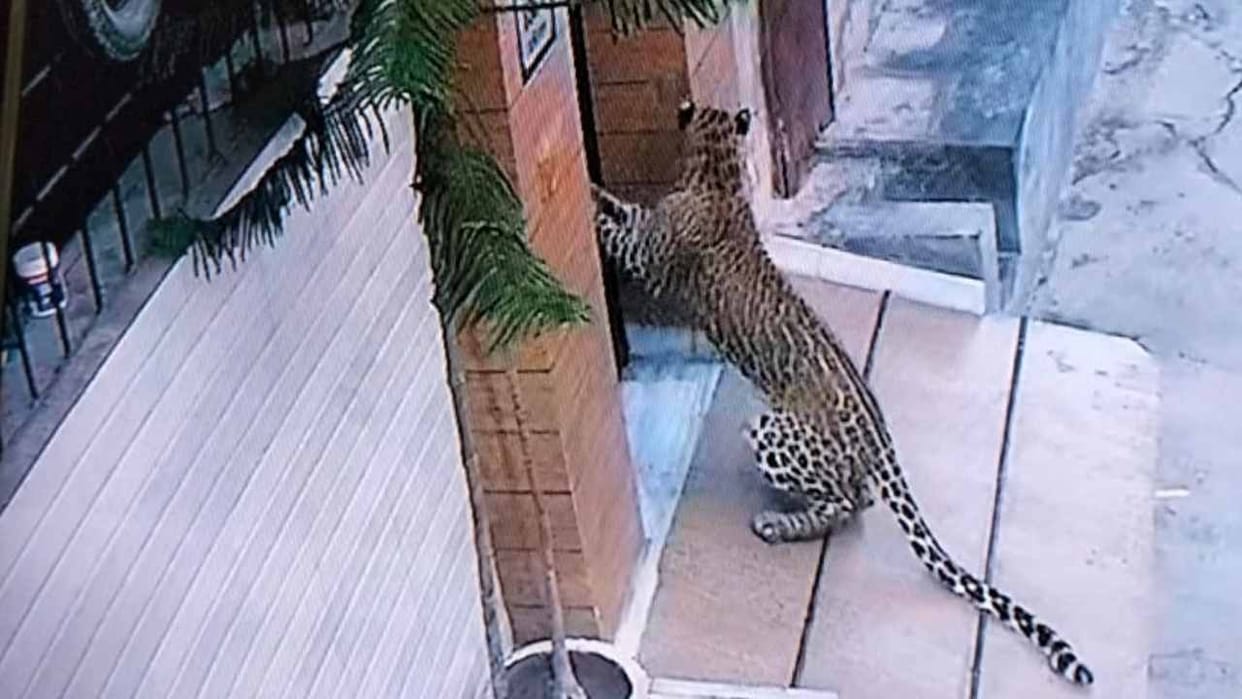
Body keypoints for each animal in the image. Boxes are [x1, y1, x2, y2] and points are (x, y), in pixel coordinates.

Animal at [590, 100, 1095, 687]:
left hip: (770, 430)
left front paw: (583, 193)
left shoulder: (647, 254)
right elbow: (624, 211)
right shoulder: (651, 227)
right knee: (860, 498)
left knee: (848, 503)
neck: (719, 175)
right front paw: (599, 191)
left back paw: (777, 523)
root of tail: (879, 436)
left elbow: (616, 233)